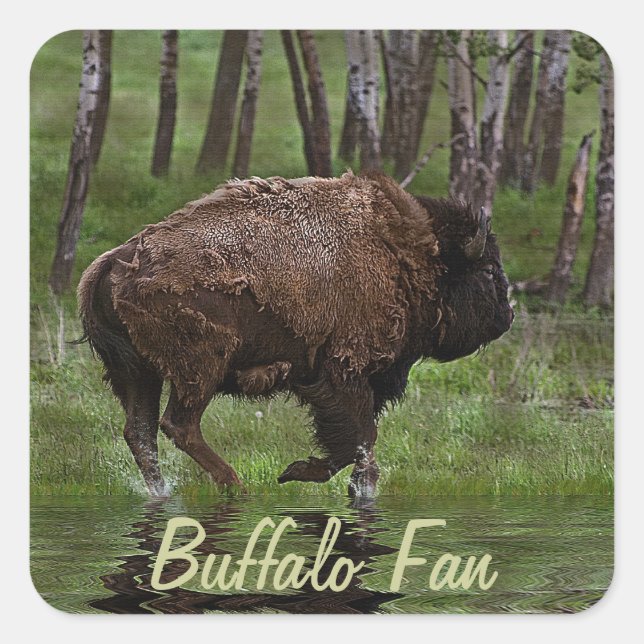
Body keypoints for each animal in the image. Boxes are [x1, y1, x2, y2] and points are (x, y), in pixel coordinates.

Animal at [78, 171, 513, 497]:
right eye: (489, 270)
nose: (507, 317)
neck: (404, 255)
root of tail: (114, 262)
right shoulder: (344, 371)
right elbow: (358, 436)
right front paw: (300, 473)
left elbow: (360, 440)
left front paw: (348, 484)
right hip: (199, 369)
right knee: (178, 425)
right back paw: (235, 485)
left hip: (138, 373)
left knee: (141, 432)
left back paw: (165, 492)